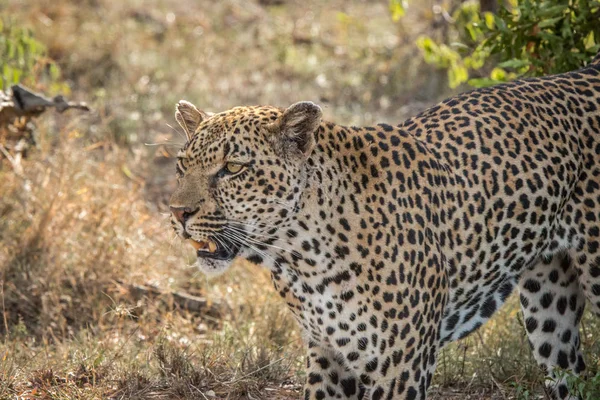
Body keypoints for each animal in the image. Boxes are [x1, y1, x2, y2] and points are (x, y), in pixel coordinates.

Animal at [166, 57, 600, 400]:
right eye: (183, 164)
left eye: (233, 168)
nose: (178, 212)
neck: (300, 256)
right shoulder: (328, 355)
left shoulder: (402, 366)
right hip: (549, 305)